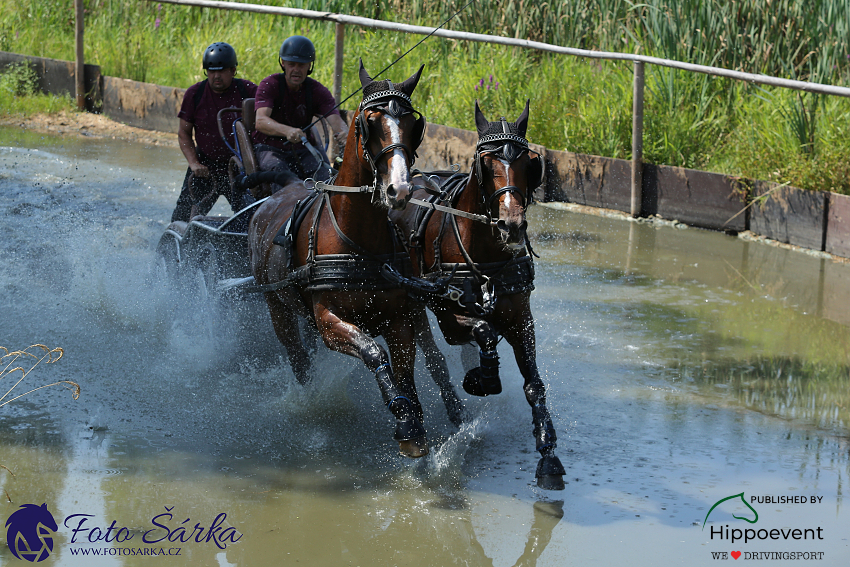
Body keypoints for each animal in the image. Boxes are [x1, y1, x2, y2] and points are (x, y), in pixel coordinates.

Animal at [247, 62, 434, 460]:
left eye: (412, 123)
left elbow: (405, 368)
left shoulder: (398, 319)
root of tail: (284, 188)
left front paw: (413, 425)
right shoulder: (330, 322)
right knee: (297, 355)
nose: (399, 189)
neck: (356, 239)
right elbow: (373, 352)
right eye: (369, 121)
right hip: (276, 306)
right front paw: (402, 416)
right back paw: (308, 397)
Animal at [390, 101, 564, 488]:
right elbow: (482, 331)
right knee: (432, 355)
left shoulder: (521, 319)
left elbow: (534, 385)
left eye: (530, 163)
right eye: (486, 163)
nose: (511, 224)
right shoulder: (449, 315)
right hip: (412, 303)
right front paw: (482, 379)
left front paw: (548, 454)